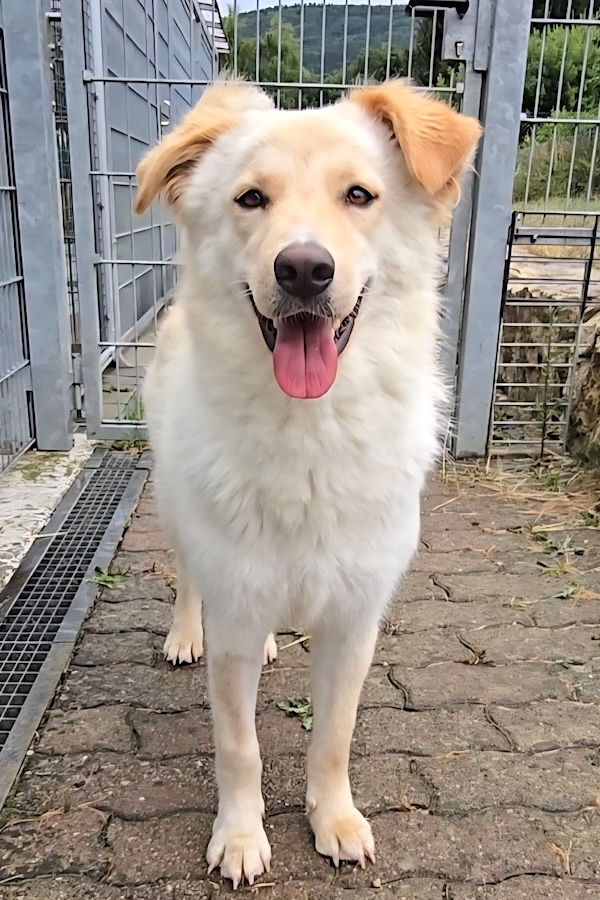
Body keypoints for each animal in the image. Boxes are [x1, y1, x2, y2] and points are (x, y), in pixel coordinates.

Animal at [134, 77, 480, 888]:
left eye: (359, 195)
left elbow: (333, 736)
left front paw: (335, 821)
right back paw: (184, 634)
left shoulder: (355, 621)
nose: (301, 270)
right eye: (250, 198)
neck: (311, 431)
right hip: (176, 507)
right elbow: (239, 748)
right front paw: (238, 838)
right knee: (188, 576)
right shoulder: (235, 611)